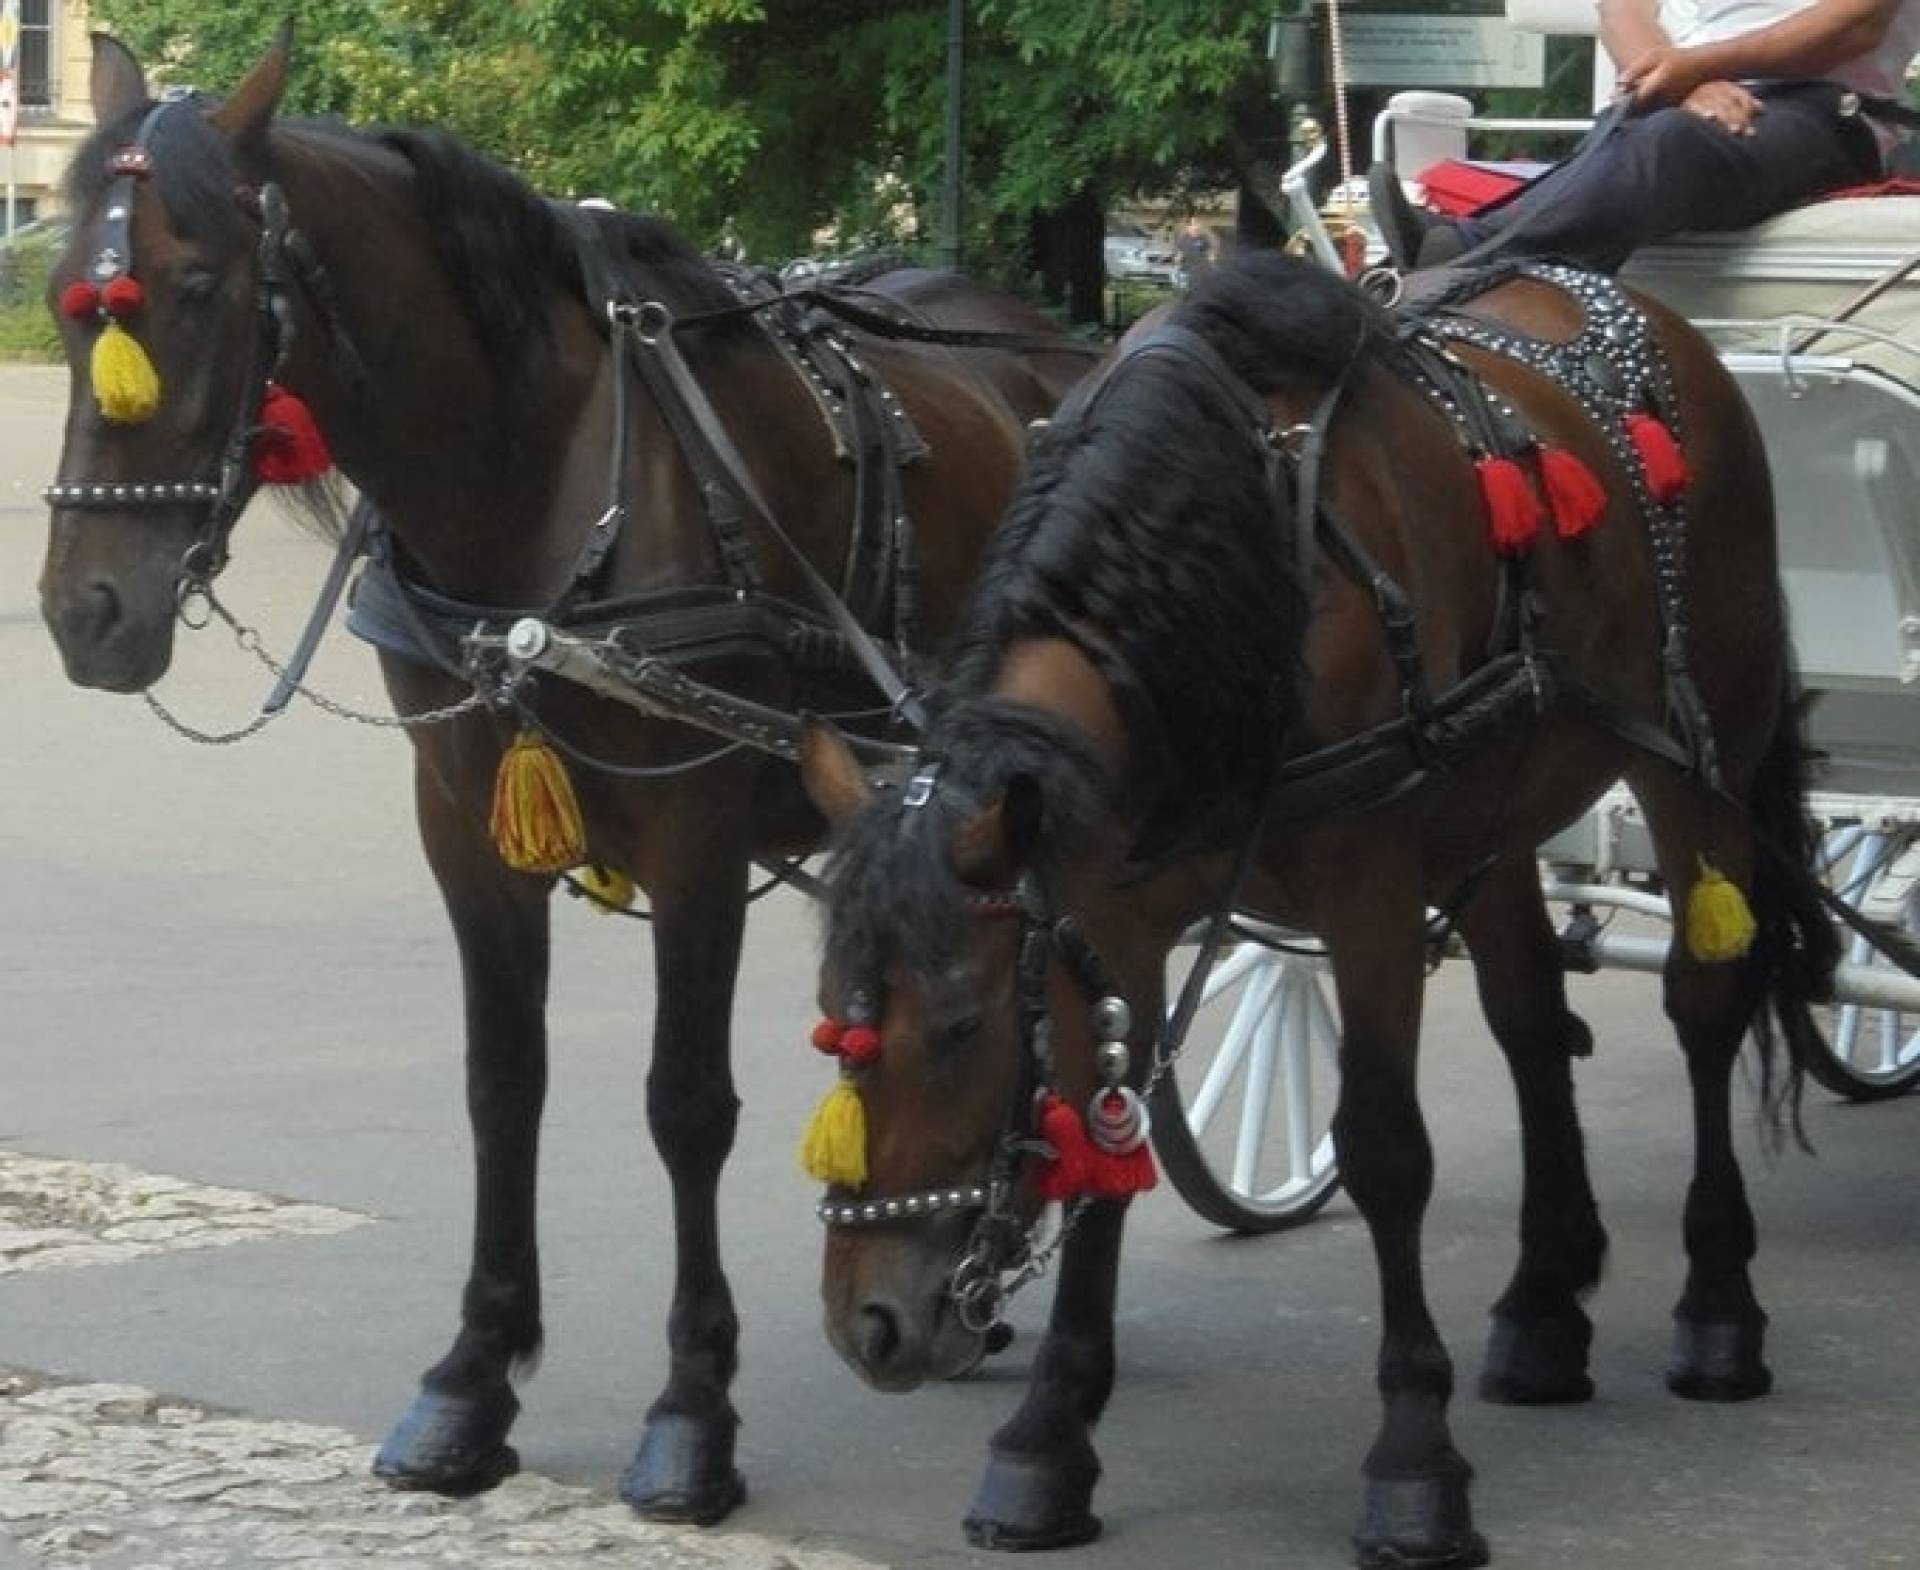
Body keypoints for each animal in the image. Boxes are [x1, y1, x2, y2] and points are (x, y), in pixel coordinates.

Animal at [45, 27, 1090, 1520]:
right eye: (65, 299)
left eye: (194, 289)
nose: (85, 612)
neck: (541, 470)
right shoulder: (461, 825)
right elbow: (503, 1084)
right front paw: (472, 1378)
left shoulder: (698, 830)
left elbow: (686, 1104)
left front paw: (694, 1410)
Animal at [802, 251, 1835, 1558]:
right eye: (836, 1021)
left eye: (959, 1028)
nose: (871, 1327)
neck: (1240, 584)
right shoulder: (1113, 919)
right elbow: (1104, 1147)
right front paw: (1047, 1439)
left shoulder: (1371, 898)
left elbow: (1385, 1150)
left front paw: (1414, 1460)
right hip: (1503, 803)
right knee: (1532, 1025)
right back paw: (1546, 1306)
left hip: (1701, 754)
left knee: (1706, 1005)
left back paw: (1718, 1304)